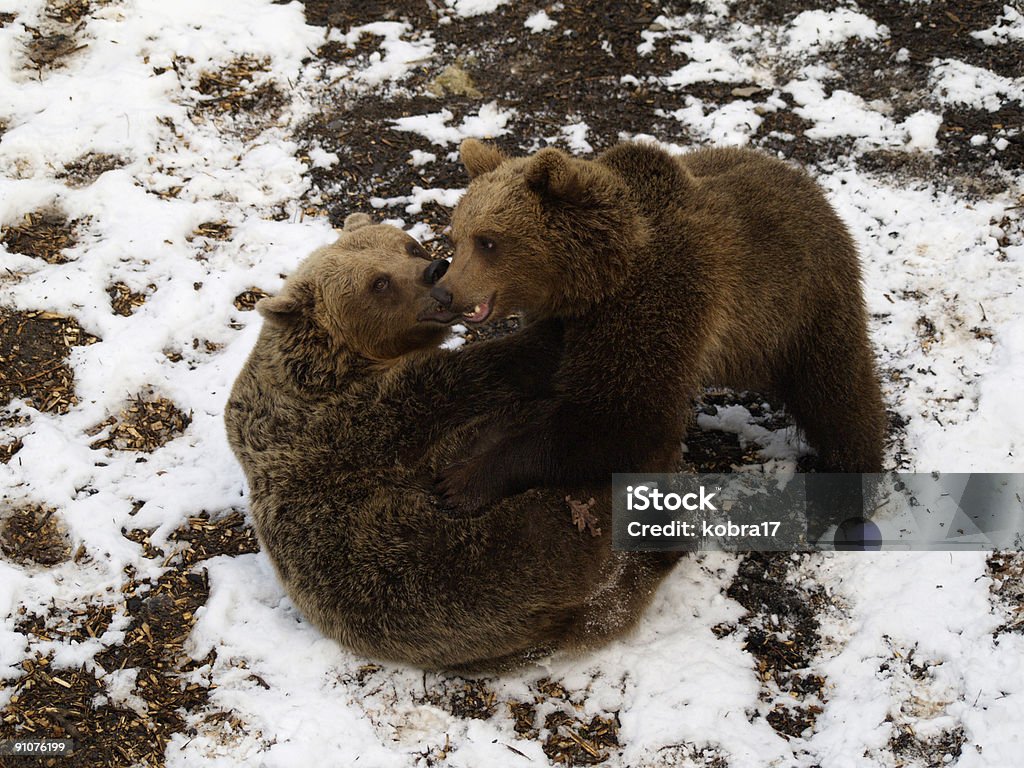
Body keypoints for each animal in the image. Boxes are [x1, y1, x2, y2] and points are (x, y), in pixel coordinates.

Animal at [224, 214, 675, 671]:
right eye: (379, 283)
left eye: (409, 246)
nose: (434, 270)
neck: (340, 360)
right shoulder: (351, 419)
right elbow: (466, 377)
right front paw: (548, 332)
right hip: (449, 557)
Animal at [425, 140, 888, 512]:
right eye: (456, 236)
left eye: (488, 241)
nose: (444, 292)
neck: (602, 277)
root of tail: (805, 181)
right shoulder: (573, 322)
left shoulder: (662, 300)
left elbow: (625, 419)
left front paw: (462, 479)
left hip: (805, 300)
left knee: (836, 390)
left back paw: (851, 480)